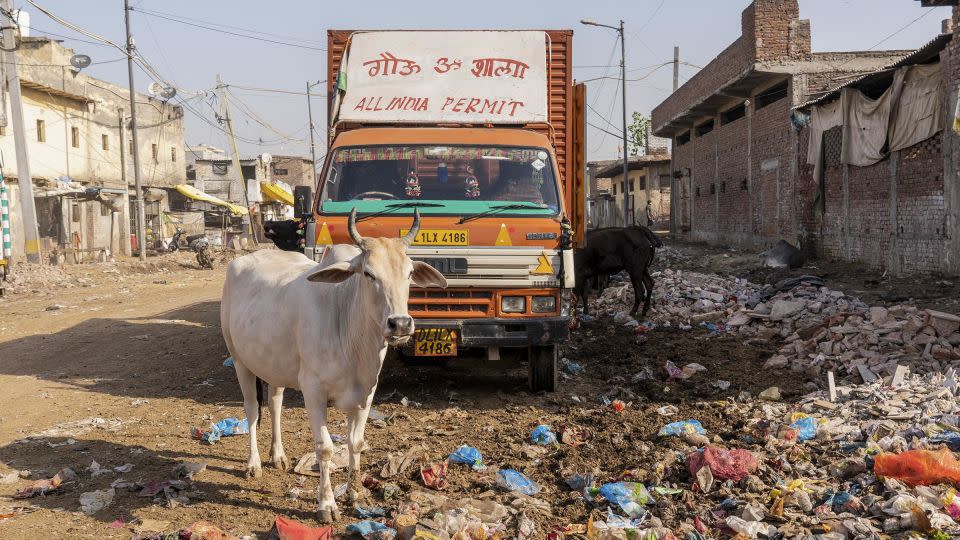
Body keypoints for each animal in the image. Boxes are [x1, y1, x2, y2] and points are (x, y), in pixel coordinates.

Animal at [223, 209, 448, 520]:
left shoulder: (367, 392)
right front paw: (327, 504)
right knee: (252, 410)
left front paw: (355, 493)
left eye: (410, 273)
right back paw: (253, 463)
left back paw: (278, 455)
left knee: (275, 403)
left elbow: (356, 443)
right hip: (240, 360)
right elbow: (325, 448)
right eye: (368, 274)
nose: (401, 324)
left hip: (274, 364)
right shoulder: (313, 390)